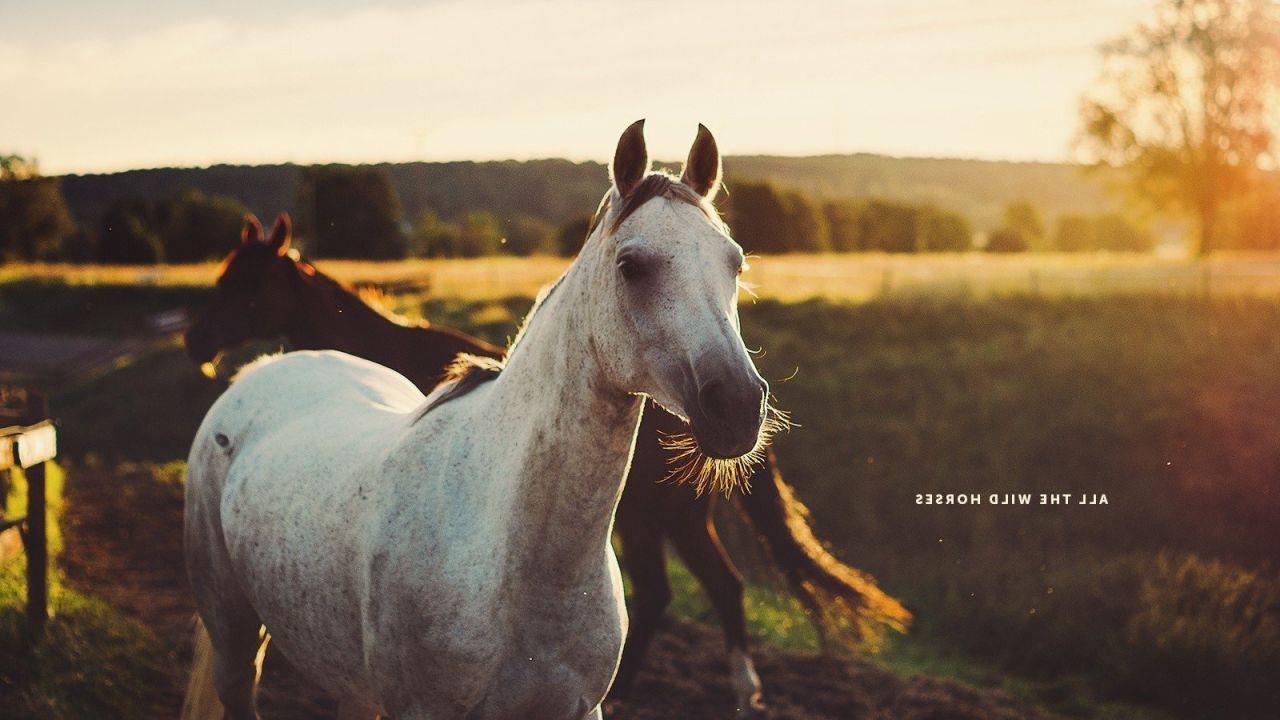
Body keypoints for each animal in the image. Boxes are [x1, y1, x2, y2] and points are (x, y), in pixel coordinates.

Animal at [180, 120, 768, 712]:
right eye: (631, 266)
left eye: (735, 262)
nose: (738, 405)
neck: (512, 548)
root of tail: (262, 369)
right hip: (233, 637)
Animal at [185, 208, 911, 712]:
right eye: (221, 276)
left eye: (248, 281)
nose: (194, 338)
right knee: (709, 587)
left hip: (657, 523)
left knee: (698, 589)